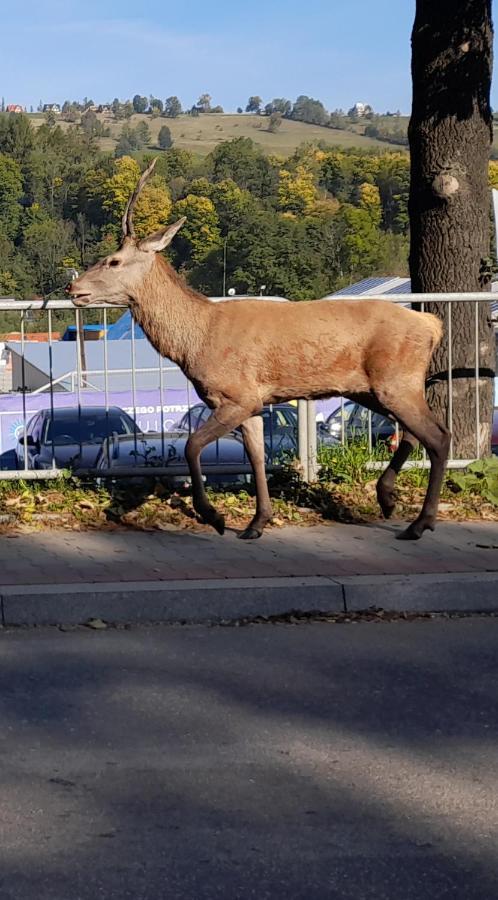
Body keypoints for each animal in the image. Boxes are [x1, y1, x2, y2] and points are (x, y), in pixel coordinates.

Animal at [67, 161, 452, 540]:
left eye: (114, 261)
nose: (74, 288)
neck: (197, 340)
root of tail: (432, 325)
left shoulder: (237, 395)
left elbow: (192, 445)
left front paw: (214, 516)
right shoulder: (252, 403)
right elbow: (256, 458)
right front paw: (257, 522)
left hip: (396, 381)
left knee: (439, 436)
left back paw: (420, 522)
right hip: (370, 389)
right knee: (414, 434)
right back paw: (387, 498)